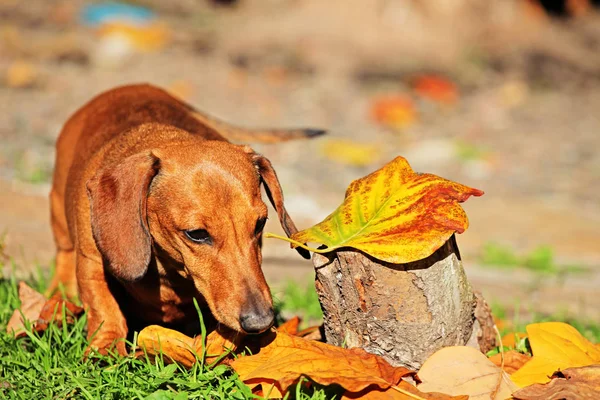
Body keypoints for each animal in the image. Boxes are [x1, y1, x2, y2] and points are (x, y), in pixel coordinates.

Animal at [49, 83, 322, 354]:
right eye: (197, 234)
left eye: (260, 224)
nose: (261, 322)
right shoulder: (91, 261)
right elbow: (104, 308)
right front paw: (105, 349)